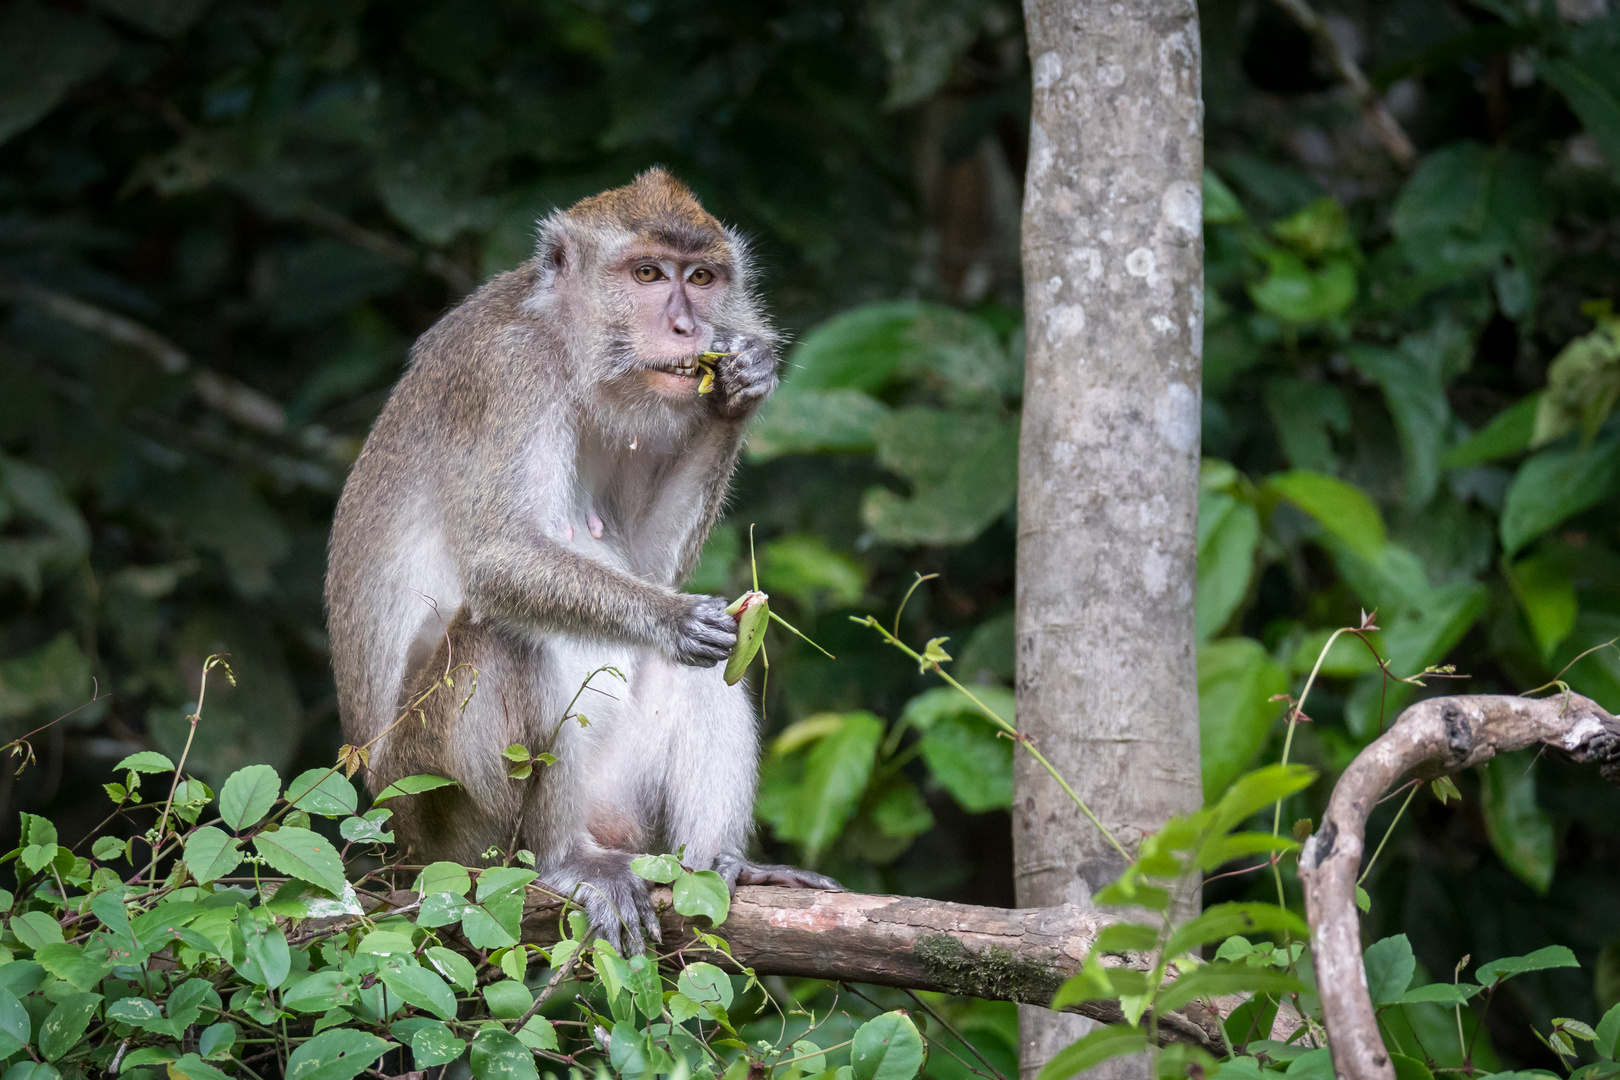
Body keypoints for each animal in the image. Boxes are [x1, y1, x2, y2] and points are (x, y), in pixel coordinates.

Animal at [324, 169, 842, 952]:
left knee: (699, 667)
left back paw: (719, 866)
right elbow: (500, 556)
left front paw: (740, 386)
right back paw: (565, 860)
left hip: (621, 804)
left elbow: (649, 567)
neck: (566, 345)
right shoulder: (509, 374)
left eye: (702, 277)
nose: (688, 328)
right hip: (442, 816)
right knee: (503, 640)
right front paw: (674, 619)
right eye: (647, 274)